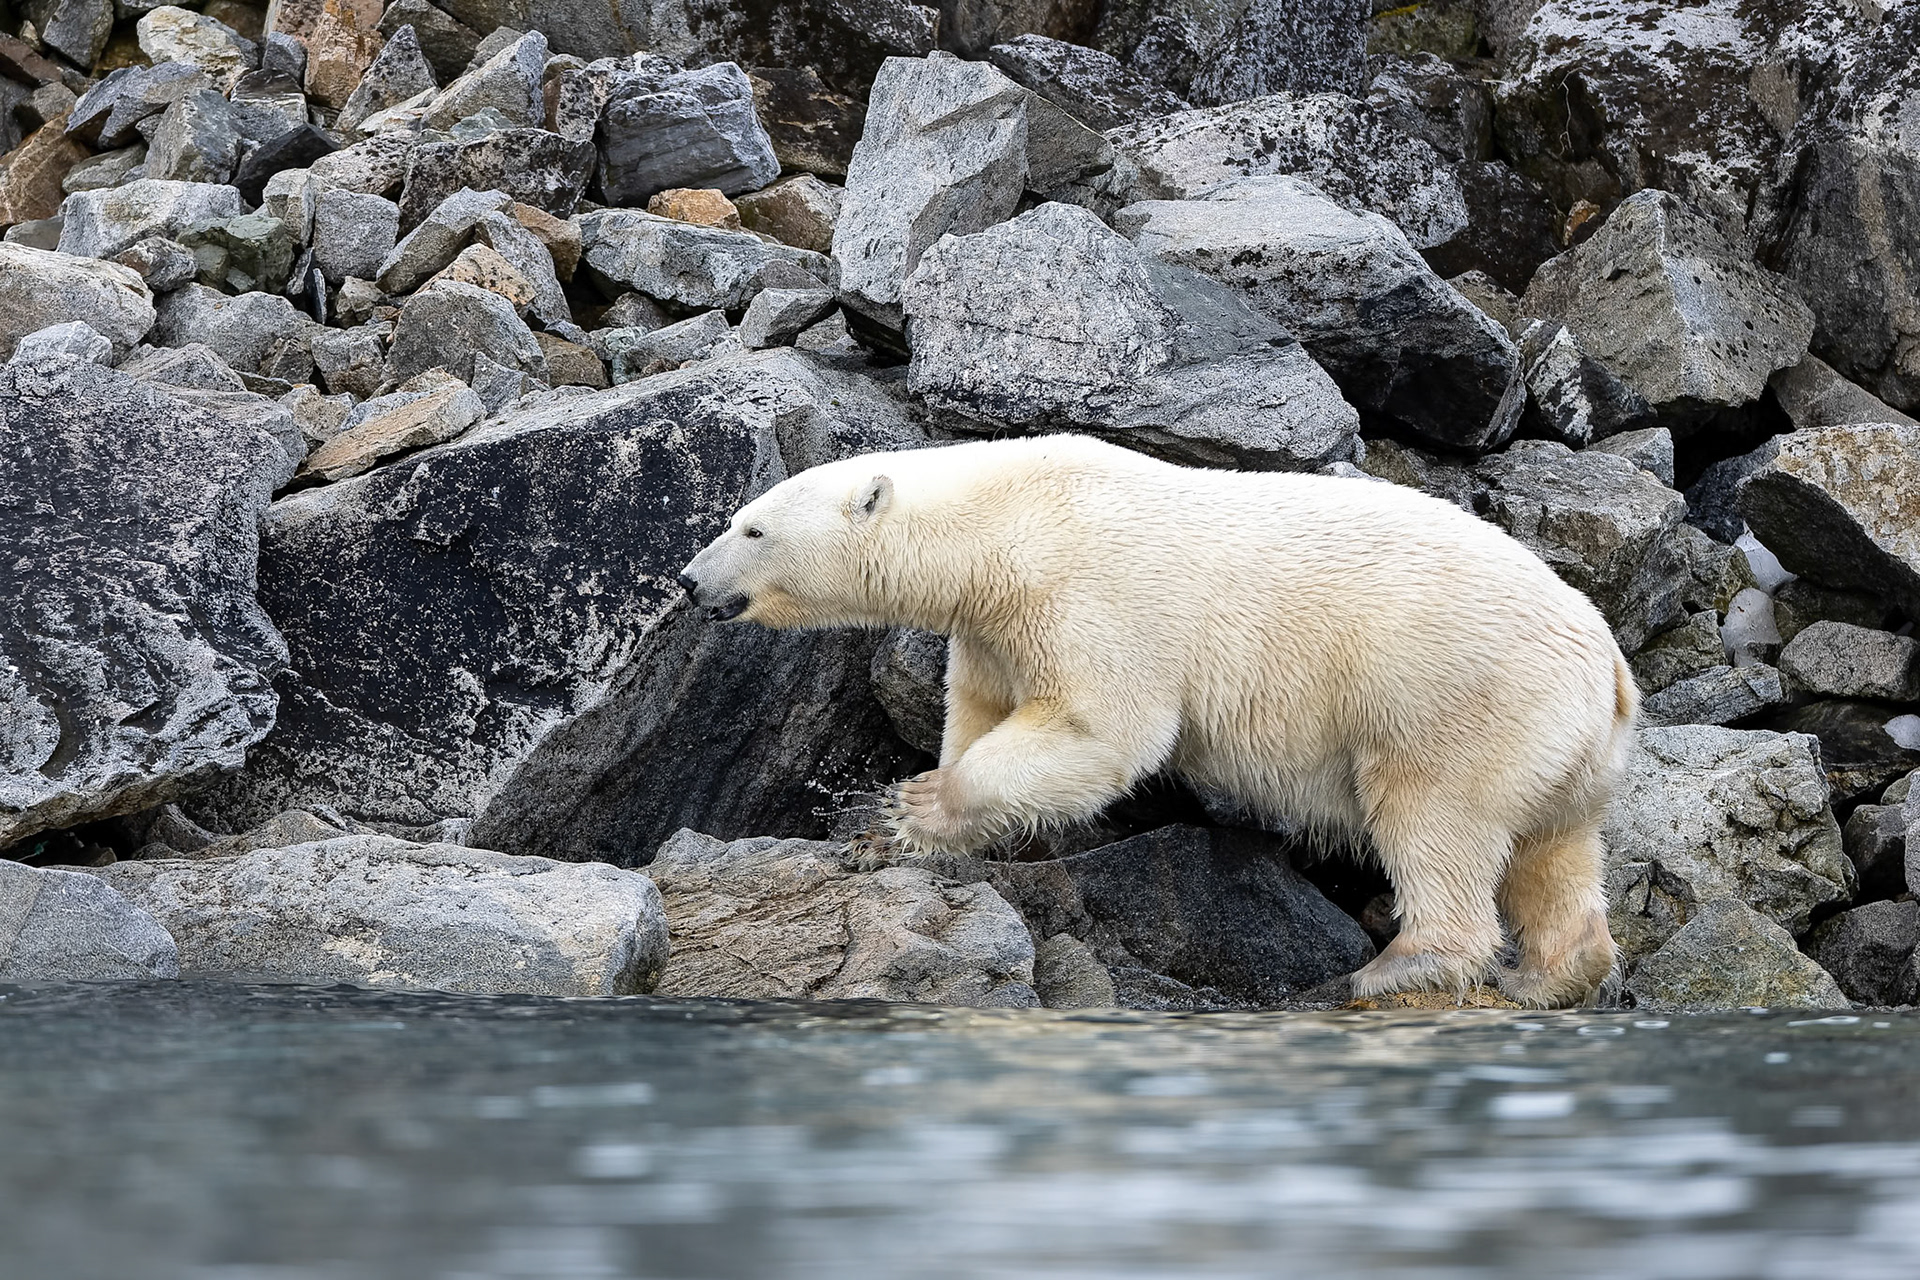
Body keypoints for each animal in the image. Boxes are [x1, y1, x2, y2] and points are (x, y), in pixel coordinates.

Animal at [677, 433, 1635, 1008]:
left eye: (752, 528)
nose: (687, 581)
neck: (1005, 519)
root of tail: (1612, 672)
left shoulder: (1088, 592)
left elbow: (1105, 729)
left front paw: (917, 803)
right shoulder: (994, 628)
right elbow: (979, 708)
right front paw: (893, 829)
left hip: (1455, 697)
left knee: (1435, 817)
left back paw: (1405, 962)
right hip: (1561, 750)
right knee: (1552, 851)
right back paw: (1554, 975)